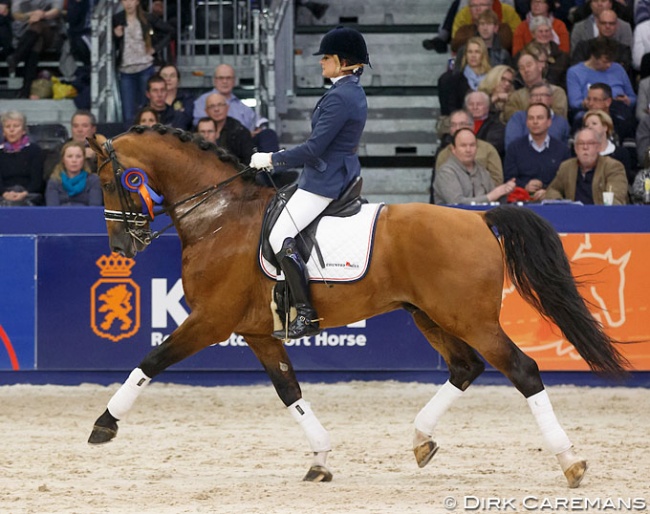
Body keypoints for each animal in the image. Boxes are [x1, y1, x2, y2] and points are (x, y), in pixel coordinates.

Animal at [87, 124, 628, 484]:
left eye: (110, 180)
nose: (121, 246)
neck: (219, 217)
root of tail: (478, 219)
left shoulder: (209, 321)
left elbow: (151, 361)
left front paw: (104, 424)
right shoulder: (259, 333)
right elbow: (289, 391)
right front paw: (320, 459)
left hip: (470, 318)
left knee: (523, 370)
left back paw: (570, 461)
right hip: (429, 315)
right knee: (465, 367)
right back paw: (421, 440)